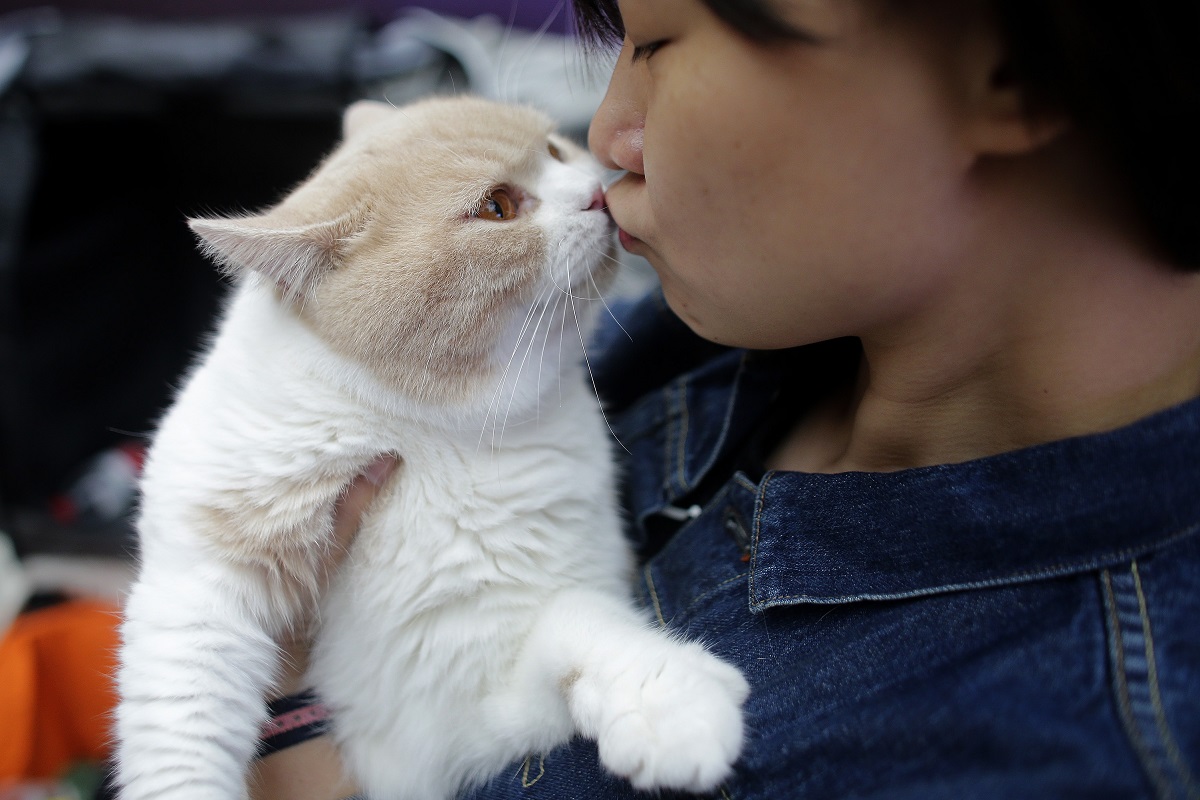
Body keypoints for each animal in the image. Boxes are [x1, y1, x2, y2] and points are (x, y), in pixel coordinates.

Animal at [114, 95, 748, 800]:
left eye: (555, 149)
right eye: (497, 206)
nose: (597, 196)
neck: (436, 434)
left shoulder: (475, 729)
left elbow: (578, 616)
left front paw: (670, 705)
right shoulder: (201, 586)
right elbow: (182, 731)